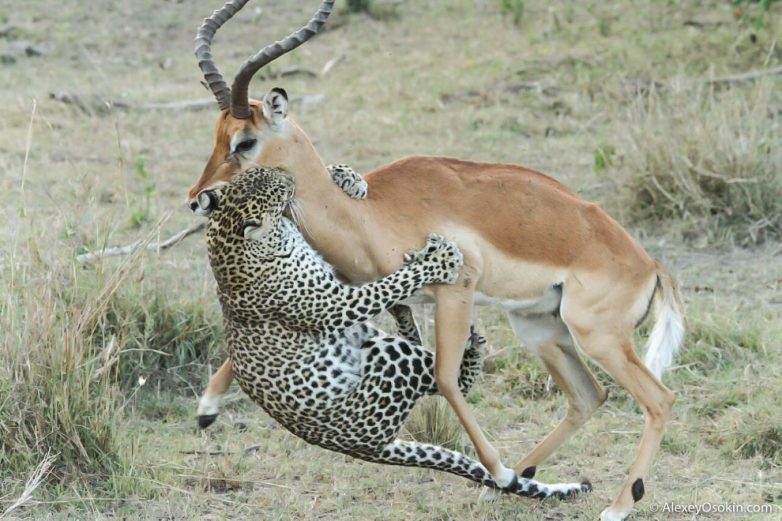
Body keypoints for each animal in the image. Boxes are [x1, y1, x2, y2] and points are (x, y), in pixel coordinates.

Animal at [201, 166, 591, 500]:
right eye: (274, 188)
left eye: (262, 176)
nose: (288, 176)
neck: (233, 238)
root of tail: (363, 447)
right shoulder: (336, 301)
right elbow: (391, 283)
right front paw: (439, 259)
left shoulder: (339, 275)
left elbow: (383, 279)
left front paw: (347, 178)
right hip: (390, 361)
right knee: (444, 379)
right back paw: (469, 347)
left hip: (370, 341)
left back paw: (458, 336)